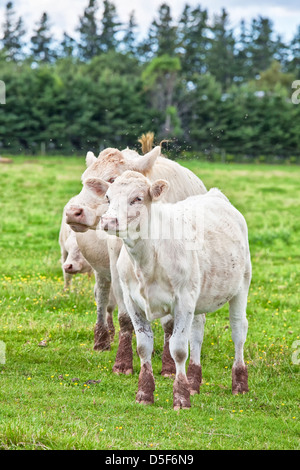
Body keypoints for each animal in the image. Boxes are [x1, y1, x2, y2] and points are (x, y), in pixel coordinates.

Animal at [84, 171, 251, 410]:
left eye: (137, 198)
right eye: (108, 197)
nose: (108, 221)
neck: (148, 258)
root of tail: (214, 195)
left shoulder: (183, 300)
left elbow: (178, 349)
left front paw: (181, 397)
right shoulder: (132, 301)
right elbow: (143, 346)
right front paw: (144, 393)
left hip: (241, 285)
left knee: (238, 331)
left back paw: (239, 384)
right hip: (198, 297)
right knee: (197, 333)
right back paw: (194, 382)